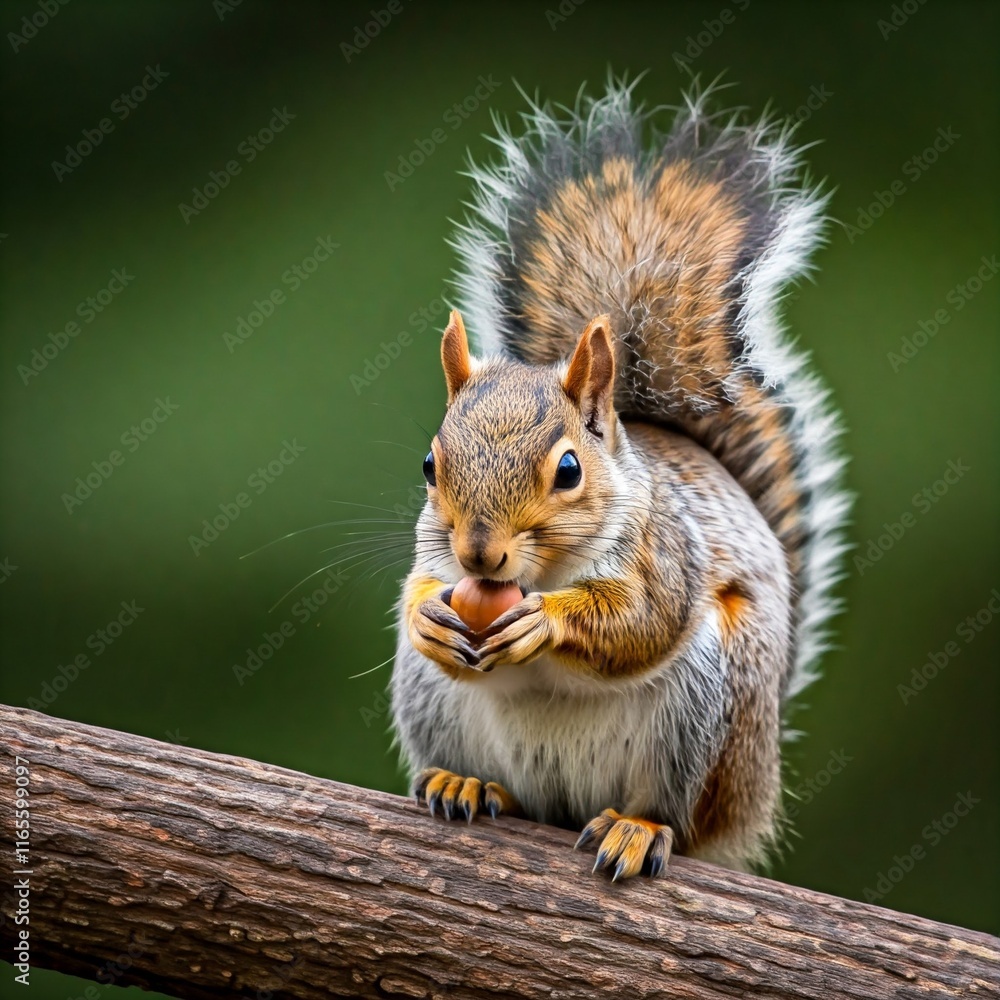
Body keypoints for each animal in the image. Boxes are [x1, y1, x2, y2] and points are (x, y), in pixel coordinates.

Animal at [389, 78, 849, 878]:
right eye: (429, 465)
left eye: (569, 469)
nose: (479, 554)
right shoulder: (434, 554)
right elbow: (419, 589)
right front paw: (427, 616)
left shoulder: (665, 551)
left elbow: (641, 619)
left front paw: (546, 620)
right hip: (431, 700)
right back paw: (463, 781)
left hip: (704, 706)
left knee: (675, 817)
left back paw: (636, 828)